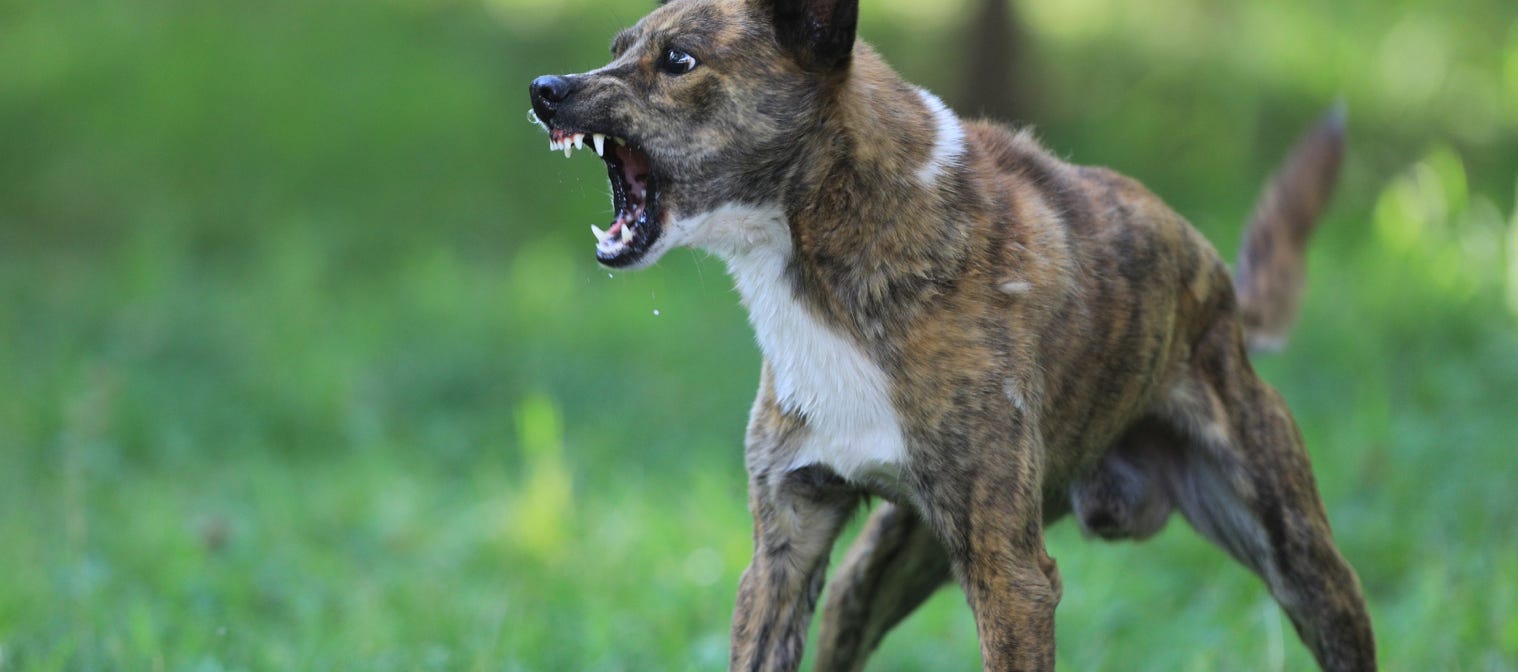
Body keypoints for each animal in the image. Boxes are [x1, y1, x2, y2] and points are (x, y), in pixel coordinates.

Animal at [528, 0, 1384, 667]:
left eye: (679, 60)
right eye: (617, 47)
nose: (544, 89)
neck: (833, 244)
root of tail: (1222, 296)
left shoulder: (1014, 581)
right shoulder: (784, 550)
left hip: (1305, 565)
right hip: (877, 572)